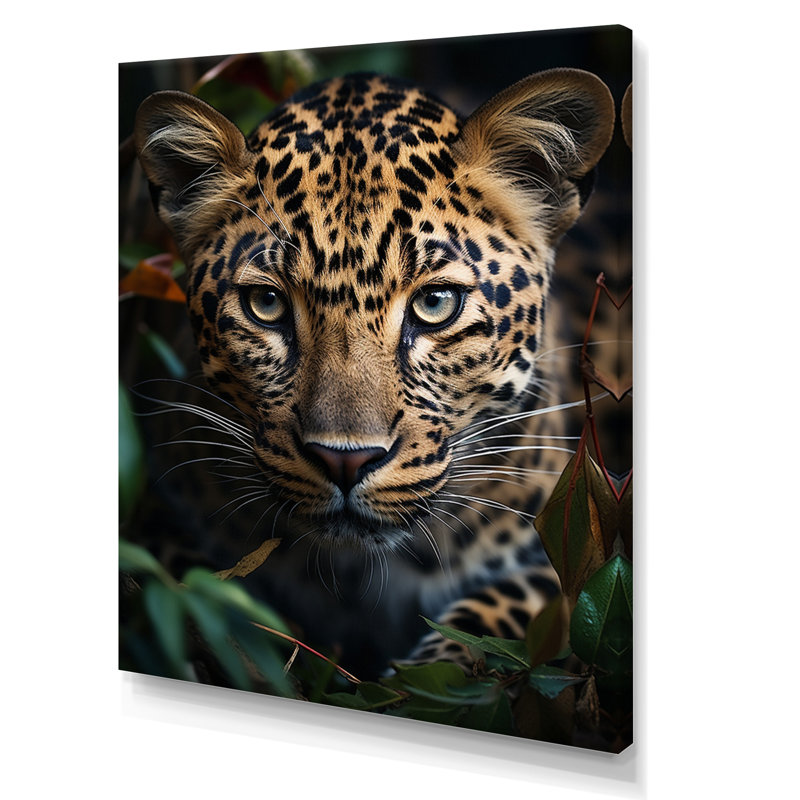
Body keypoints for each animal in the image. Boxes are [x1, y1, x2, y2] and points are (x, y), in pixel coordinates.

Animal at [130, 69, 617, 679]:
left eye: (435, 303)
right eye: (266, 304)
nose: (345, 460)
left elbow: (499, 619)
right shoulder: (160, 515)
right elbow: (179, 588)